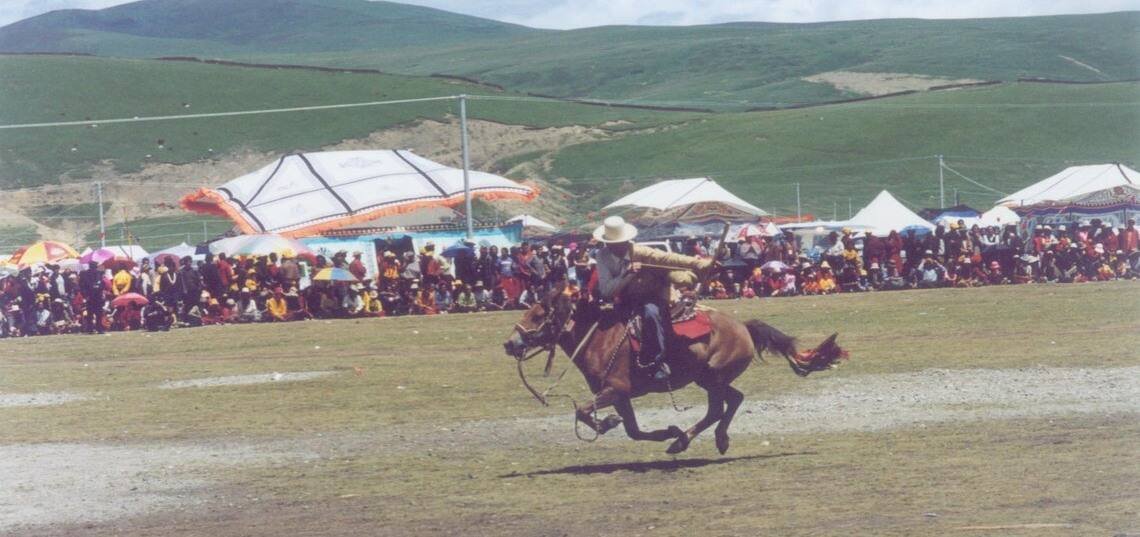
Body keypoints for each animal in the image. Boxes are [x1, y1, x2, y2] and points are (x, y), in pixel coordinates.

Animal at [503, 283, 843, 456]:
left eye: (537, 316)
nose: (509, 343)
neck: (599, 338)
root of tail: (743, 327)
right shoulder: (620, 395)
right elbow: (633, 431)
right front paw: (663, 430)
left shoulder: (615, 390)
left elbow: (582, 411)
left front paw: (608, 423)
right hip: (709, 378)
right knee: (734, 400)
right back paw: (709, 439)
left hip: (713, 377)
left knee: (718, 408)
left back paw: (685, 442)